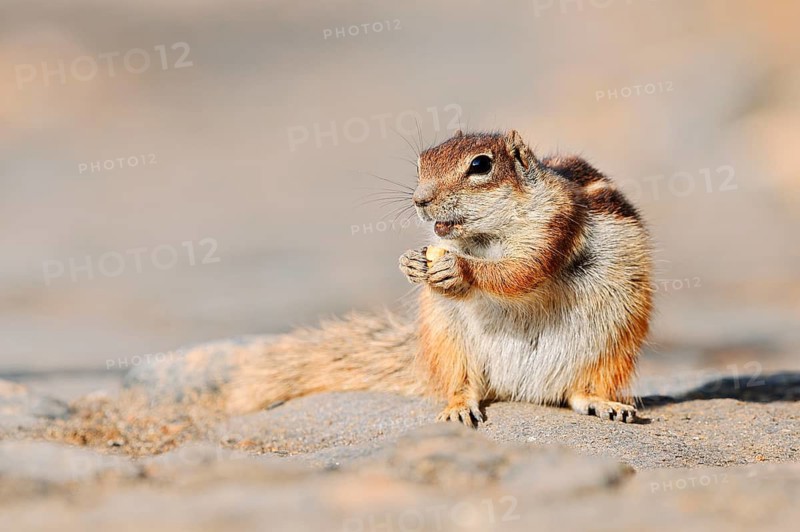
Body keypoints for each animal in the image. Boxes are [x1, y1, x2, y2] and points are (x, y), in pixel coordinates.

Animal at [225, 130, 652, 426]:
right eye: (420, 164)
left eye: (480, 166)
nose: (419, 200)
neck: (484, 238)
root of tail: (522, 389)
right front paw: (411, 262)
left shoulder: (554, 225)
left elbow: (520, 271)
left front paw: (461, 269)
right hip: (449, 340)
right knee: (463, 383)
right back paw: (459, 408)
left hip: (610, 344)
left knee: (579, 390)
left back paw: (603, 403)